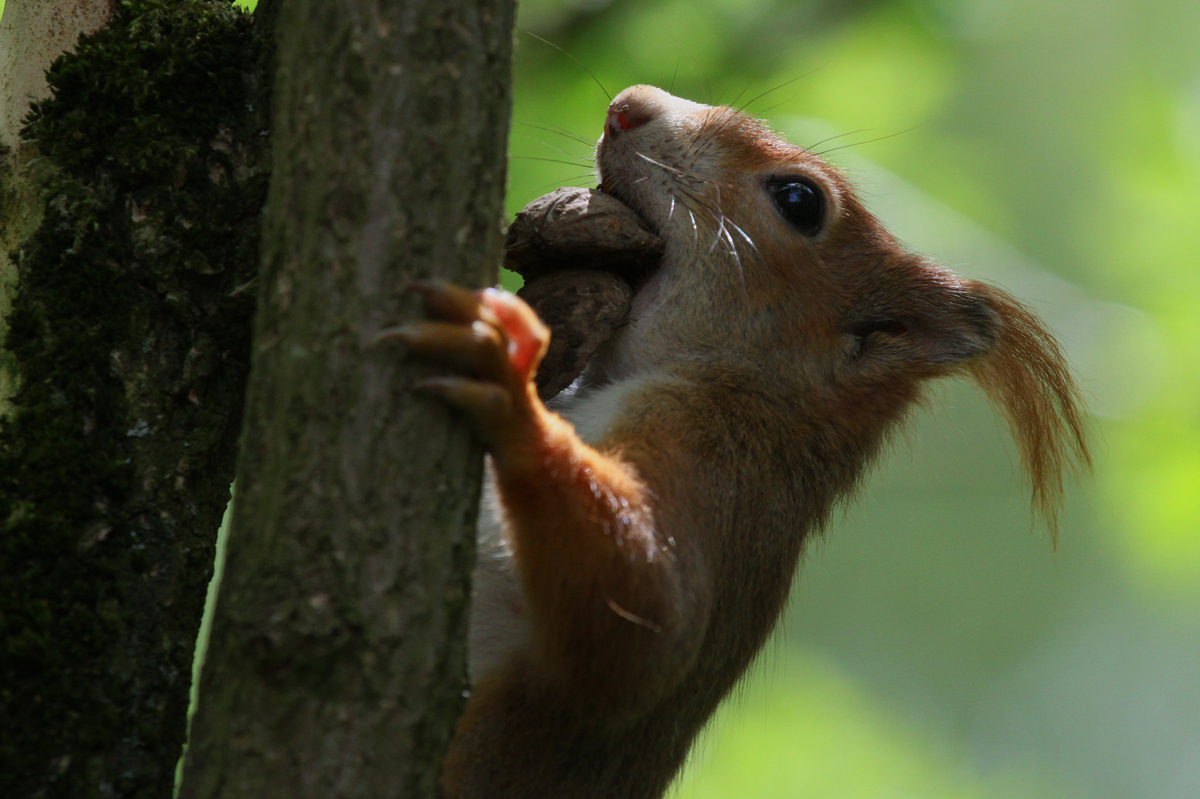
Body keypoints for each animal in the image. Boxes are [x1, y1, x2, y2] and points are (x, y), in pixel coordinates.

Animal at [388, 83, 1094, 791]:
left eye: (800, 201)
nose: (629, 104)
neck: (754, 398)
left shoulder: (714, 467)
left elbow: (641, 628)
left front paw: (506, 381)